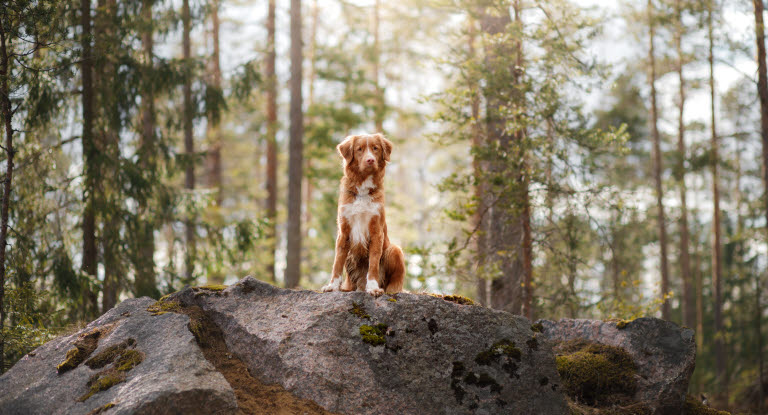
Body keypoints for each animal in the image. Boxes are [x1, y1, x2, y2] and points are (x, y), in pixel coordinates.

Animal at [320, 133, 404, 296]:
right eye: (359, 149)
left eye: (375, 148)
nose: (370, 160)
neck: (363, 189)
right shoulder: (343, 231)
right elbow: (337, 263)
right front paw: (332, 286)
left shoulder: (376, 231)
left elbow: (373, 263)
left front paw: (373, 287)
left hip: (395, 250)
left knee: (394, 284)